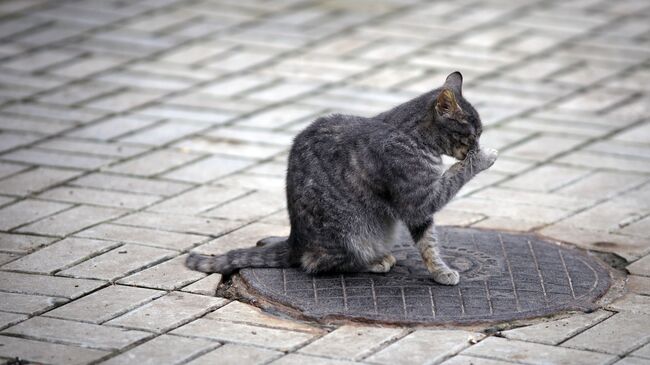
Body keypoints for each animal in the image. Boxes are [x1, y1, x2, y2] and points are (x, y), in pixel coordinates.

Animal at [186, 72, 496, 284]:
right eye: (473, 134)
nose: (478, 145)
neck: (410, 134)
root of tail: (295, 240)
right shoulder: (418, 200)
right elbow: (454, 176)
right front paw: (484, 157)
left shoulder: (419, 209)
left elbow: (428, 242)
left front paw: (439, 270)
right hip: (352, 234)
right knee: (316, 263)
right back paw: (375, 262)